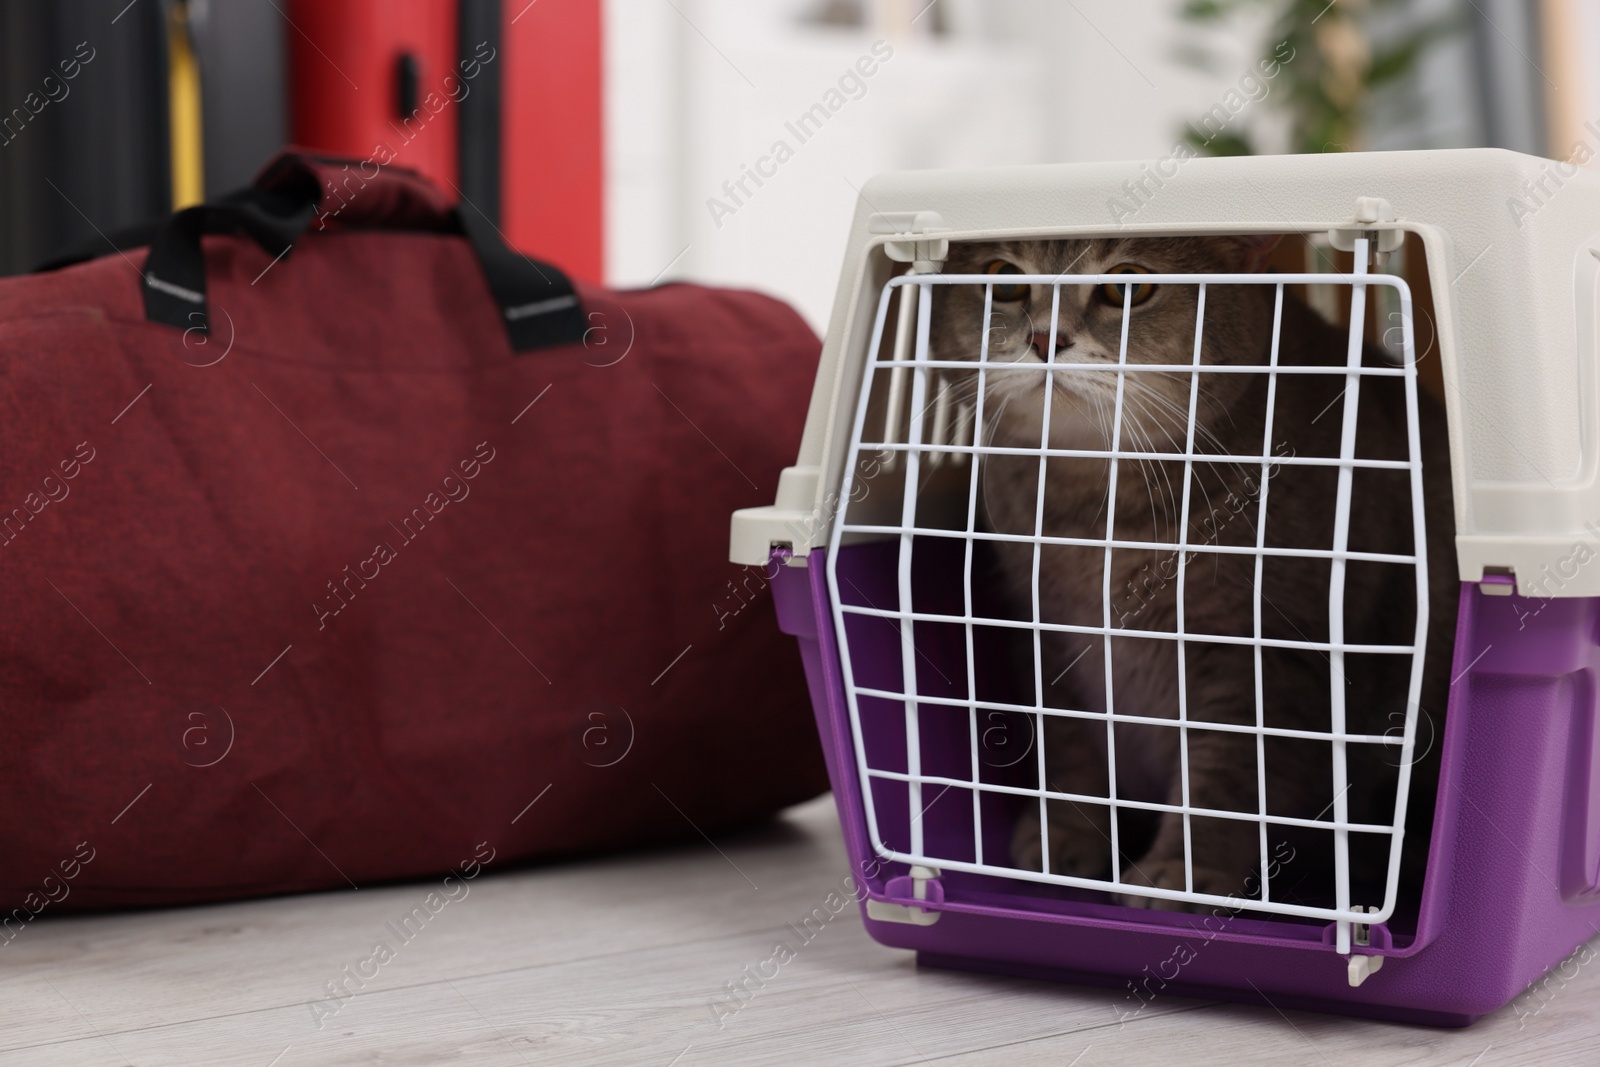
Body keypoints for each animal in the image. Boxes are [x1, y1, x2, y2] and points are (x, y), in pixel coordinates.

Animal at [928, 238, 1465, 915]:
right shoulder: (1049, 638)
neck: (1097, 511)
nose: (1045, 337)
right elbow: (1071, 750)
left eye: (1126, 288)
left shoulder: (1260, 659)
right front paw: (1065, 836)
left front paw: (1180, 874)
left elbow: (1226, 778)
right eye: (1004, 281)